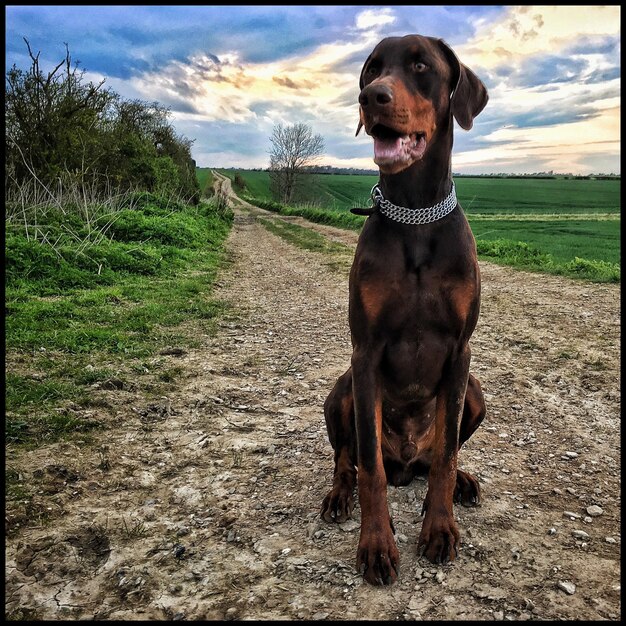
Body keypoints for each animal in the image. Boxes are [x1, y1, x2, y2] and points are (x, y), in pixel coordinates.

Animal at [322, 34, 488, 584]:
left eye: (420, 66)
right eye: (372, 69)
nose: (371, 97)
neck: (416, 215)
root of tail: (406, 461)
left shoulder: (460, 353)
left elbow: (446, 459)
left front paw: (439, 528)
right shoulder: (365, 352)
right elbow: (368, 465)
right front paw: (376, 543)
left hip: (475, 393)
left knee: (438, 456)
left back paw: (463, 480)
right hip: (341, 390)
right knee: (349, 457)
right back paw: (338, 495)